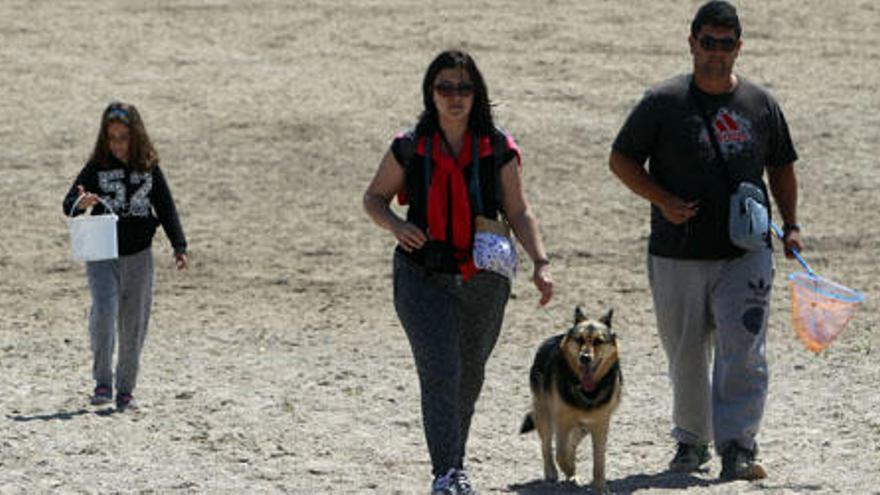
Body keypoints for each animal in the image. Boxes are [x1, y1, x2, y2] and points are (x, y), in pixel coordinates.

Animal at [520, 308, 624, 490]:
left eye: (598, 341)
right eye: (579, 339)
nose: (584, 358)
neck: (587, 391)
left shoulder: (600, 424)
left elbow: (599, 459)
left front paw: (600, 487)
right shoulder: (562, 421)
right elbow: (560, 454)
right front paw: (571, 472)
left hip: (583, 426)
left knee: (572, 443)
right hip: (544, 414)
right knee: (547, 446)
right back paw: (552, 472)